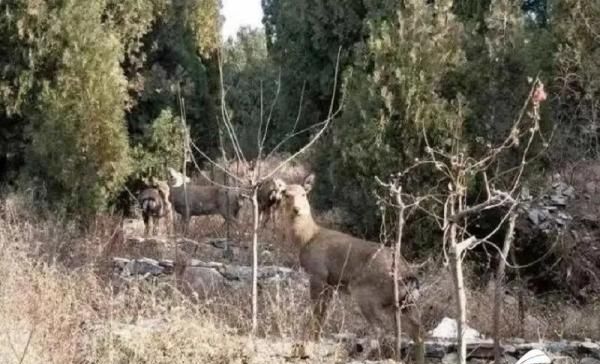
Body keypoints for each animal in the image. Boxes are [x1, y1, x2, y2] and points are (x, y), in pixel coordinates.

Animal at [278, 174, 424, 362]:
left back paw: (362, 357)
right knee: (417, 329)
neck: (308, 238)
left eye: (304, 194)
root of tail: (409, 275)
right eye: (286, 194)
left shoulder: (318, 272)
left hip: (366, 292)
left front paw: (310, 342)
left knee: (380, 327)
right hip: (403, 302)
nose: (297, 209)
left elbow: (316, 310)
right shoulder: (331, 283)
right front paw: (316, 339)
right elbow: (323, 313)